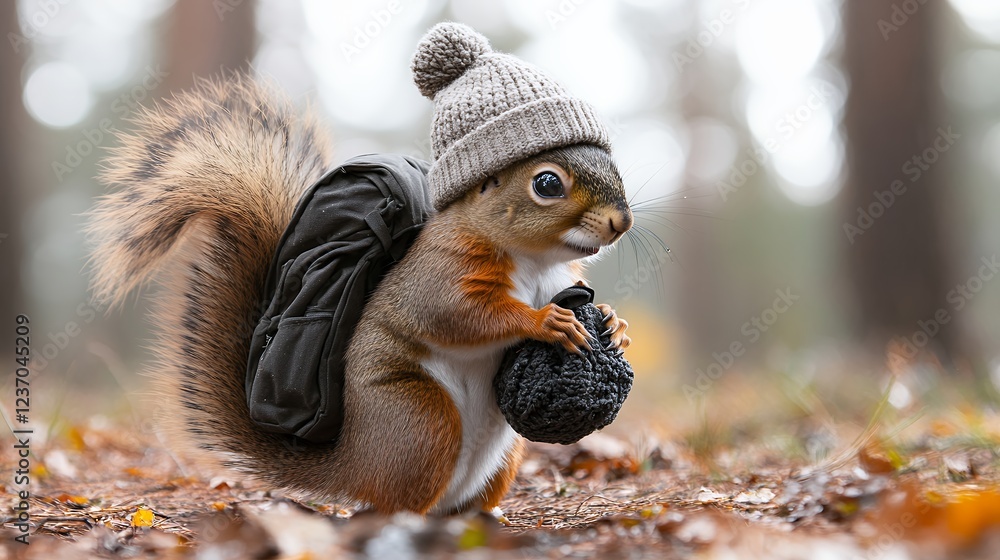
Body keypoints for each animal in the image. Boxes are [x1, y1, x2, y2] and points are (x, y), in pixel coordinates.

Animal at [86, 23, 633, 515]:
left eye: (614, 165)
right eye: (547, 183)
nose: (621, 222)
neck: (536, 261)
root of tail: (354, 469)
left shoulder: (562, 278)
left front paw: (614, 322)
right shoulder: (441, 270)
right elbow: (457, 315)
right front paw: (545, 321)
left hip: (502, 455)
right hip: (419, 420)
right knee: (395, 500)